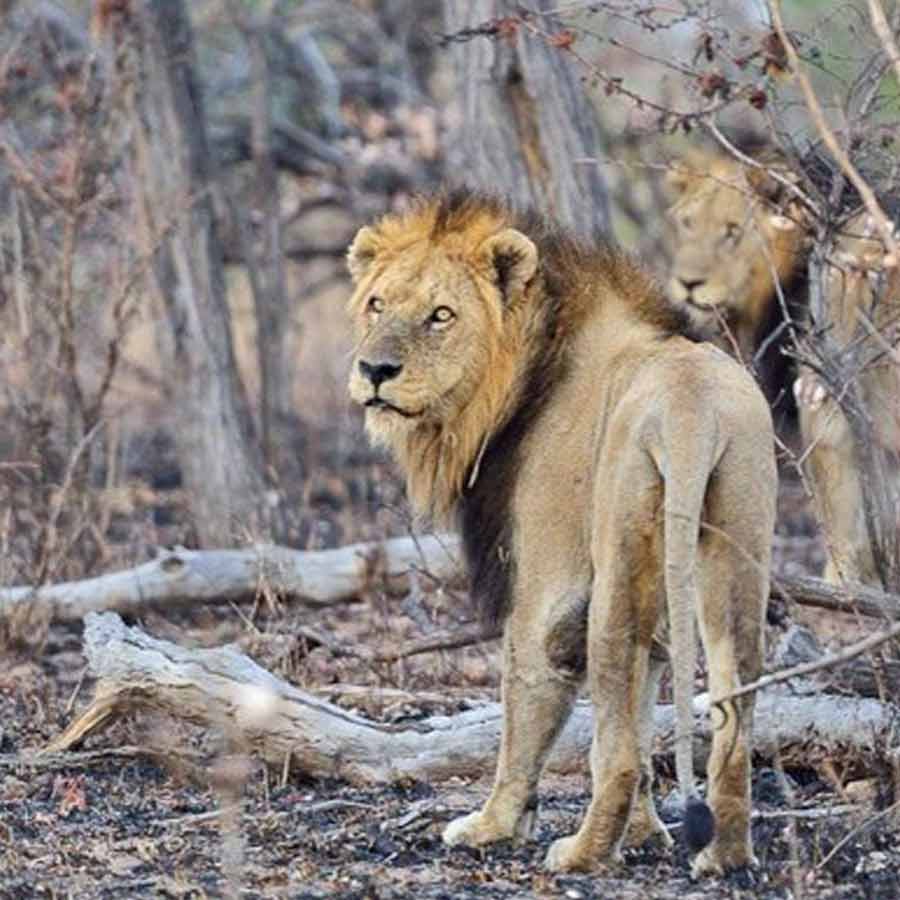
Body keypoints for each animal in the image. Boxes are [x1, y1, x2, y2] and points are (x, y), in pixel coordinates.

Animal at [345, 190, 777, 876]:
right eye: (377, 304)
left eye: (441, 315)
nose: (375, 370)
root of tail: (691, 408)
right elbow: (645, 715)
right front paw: (645, 836)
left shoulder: (548, 587)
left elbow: (526, 708)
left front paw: (493, 826)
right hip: (737, 536)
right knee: (732, 709)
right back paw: (723, 856)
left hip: (617, 553)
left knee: (615, 750)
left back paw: (580, 854)